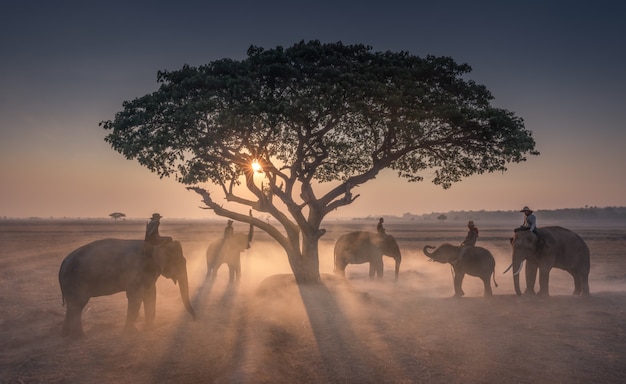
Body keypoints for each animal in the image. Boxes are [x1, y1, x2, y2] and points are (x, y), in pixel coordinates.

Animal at [59, 238, 195, 338]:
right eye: (177, 261)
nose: (195, 317)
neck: (155, 243)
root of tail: (63, 263)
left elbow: (150, 293)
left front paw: (148, 330)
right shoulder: (135, 272)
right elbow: (136, 296)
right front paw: (132, 333)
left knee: (72, 306)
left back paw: (65, 334)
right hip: (75, 281)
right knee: (78, 305)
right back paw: (81, 337)